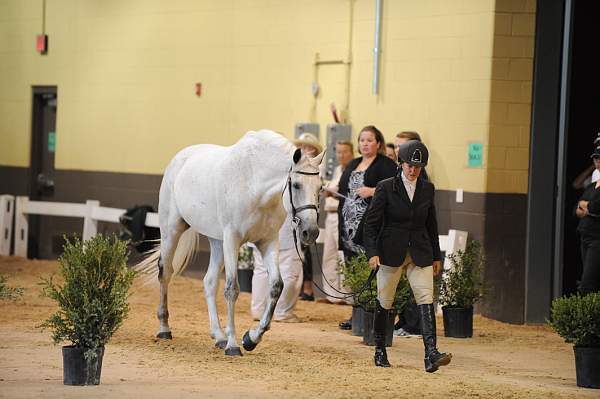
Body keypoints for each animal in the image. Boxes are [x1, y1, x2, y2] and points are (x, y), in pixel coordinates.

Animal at [137, 130, 324, 356]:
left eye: (320, 188)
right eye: (296, 185)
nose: (310, 232)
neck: (254, 183)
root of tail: (180, 158)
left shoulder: (268, 241)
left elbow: (276, 286)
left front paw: (251, 338)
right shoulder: (232, 240)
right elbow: (232, 289)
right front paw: (234, 345)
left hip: (217, 241)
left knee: (209, 282)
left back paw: (218, 336)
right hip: (172, 230)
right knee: (165, 272)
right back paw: (165, 328)